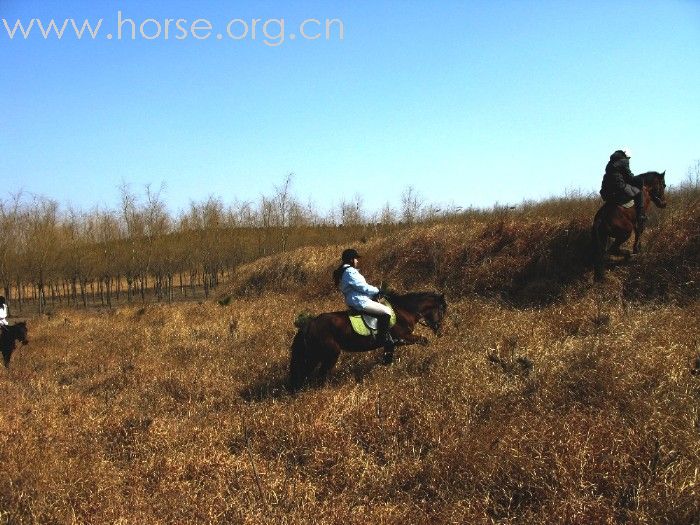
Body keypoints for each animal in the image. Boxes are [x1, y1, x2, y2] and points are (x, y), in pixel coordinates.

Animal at [290, 290, 448, 388]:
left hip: (314, 355)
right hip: (329, 354)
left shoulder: (392, 344)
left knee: (304, 374)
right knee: (320, 375)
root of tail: (309, 324)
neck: (404, 311)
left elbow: (387, 358)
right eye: (442, 310)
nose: (440, 331)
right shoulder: (403, 337)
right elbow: (424, 340)